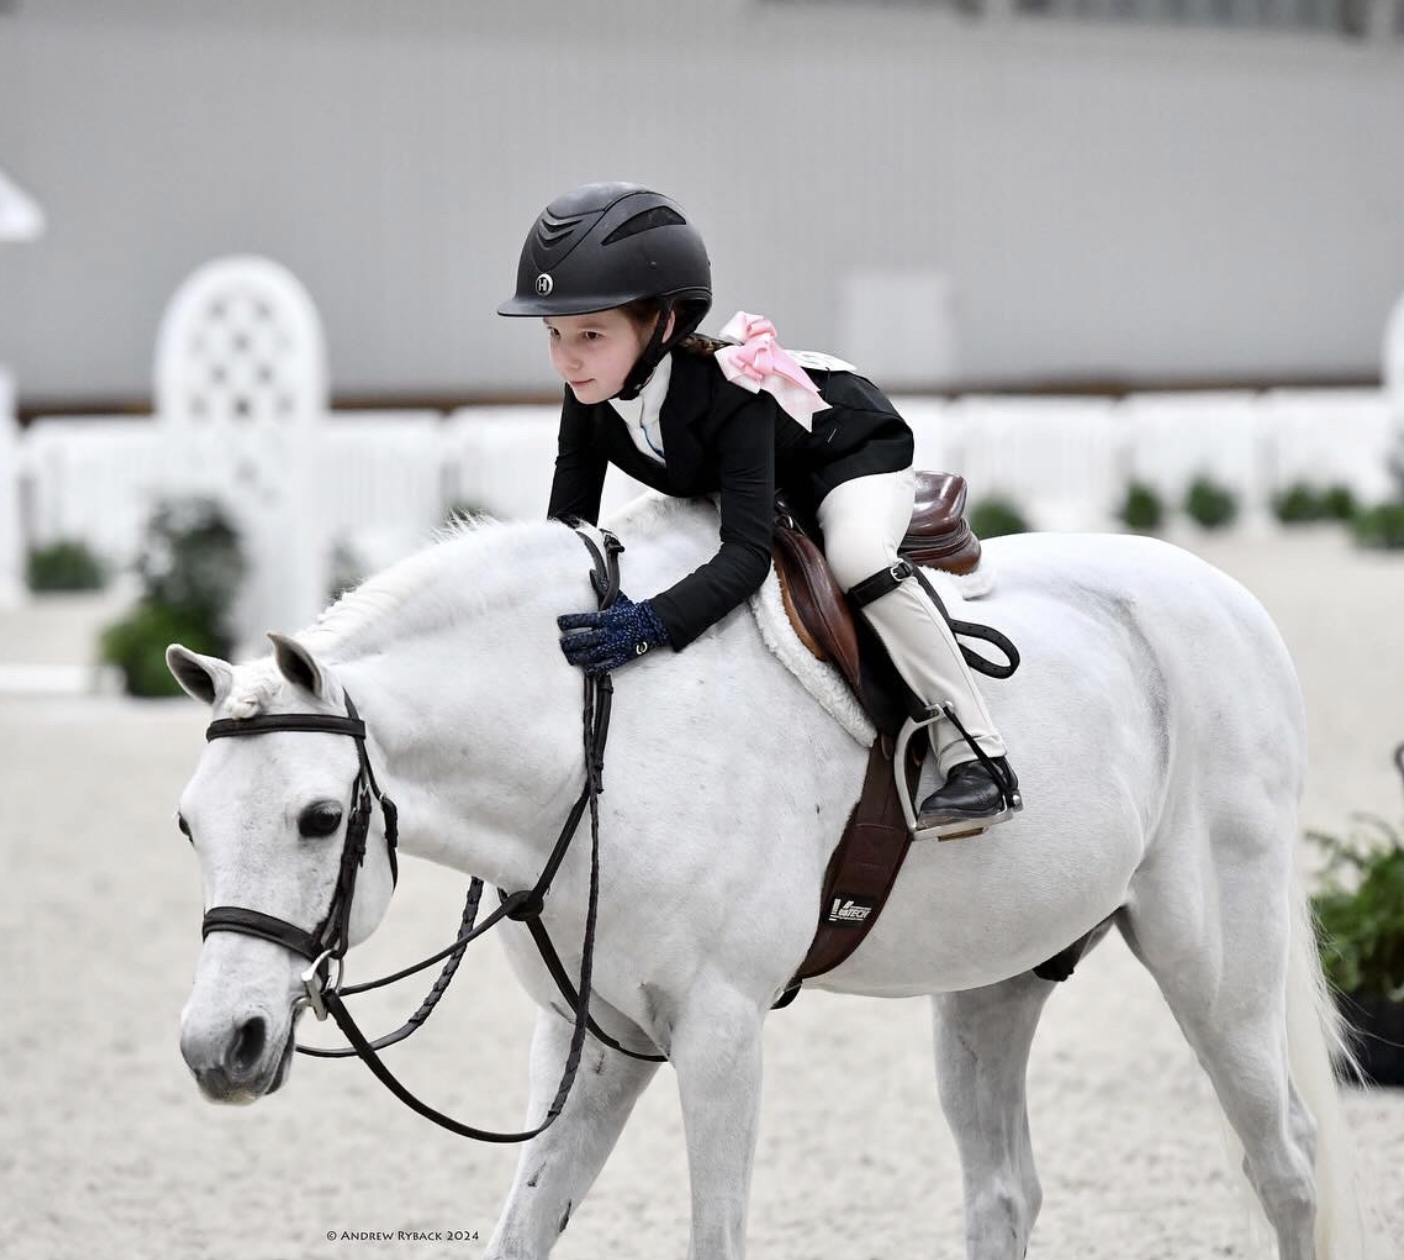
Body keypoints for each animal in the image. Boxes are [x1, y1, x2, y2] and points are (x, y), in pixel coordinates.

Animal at [168, 490, 1362, 1260]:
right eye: (188, 825)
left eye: (320, 818)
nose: (220, 1046)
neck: (597, 744)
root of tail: (1226, 600)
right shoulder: (591, 1039)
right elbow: (522, 1231)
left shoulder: (720, 1032)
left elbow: (717, 1234)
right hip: (994, 985)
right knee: (1003, 1193)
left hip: (1215, 968)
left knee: (1289, 1165)